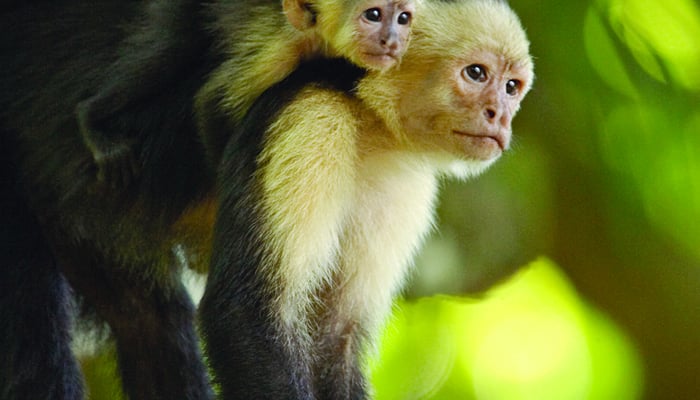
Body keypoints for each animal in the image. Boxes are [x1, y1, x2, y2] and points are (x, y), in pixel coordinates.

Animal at [76, 0, 415, 186]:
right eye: (373, 15)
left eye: (403, 19)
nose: (392, 41)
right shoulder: (279, 54)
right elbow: (211, 101)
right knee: (169, 52)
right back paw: (91, 120)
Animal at [198, 0, 534, 397]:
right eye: (477, 73)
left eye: (512, 87)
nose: (500, 115)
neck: (370, 118)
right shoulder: (312, 119)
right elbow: (245, 312)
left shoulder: (409, 187)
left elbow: (336, 335)